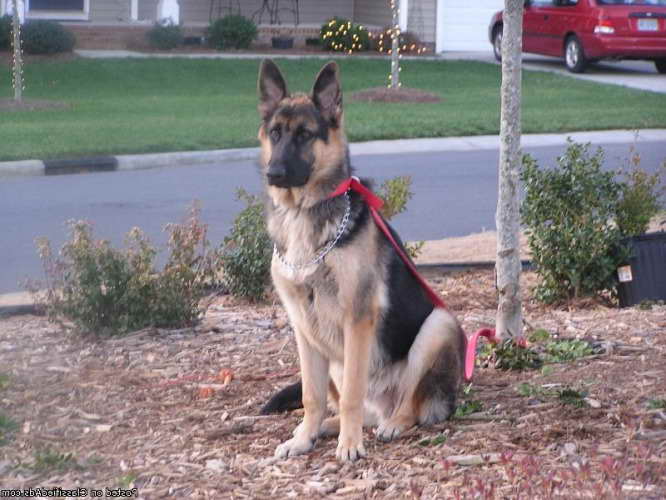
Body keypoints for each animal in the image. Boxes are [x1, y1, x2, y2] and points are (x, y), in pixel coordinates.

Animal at [256, 58, 464, 460]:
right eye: (275, 133)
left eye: (305, 135)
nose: (274, 173)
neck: (303, 214)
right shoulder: (303, 327)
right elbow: (312, 396)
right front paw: (304, 438)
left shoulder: (358, 317)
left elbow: (352, 392)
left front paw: (350, 445)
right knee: (340, 405)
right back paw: (326, 428)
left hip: (439, 326)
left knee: (409, 405)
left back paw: (391, 424)